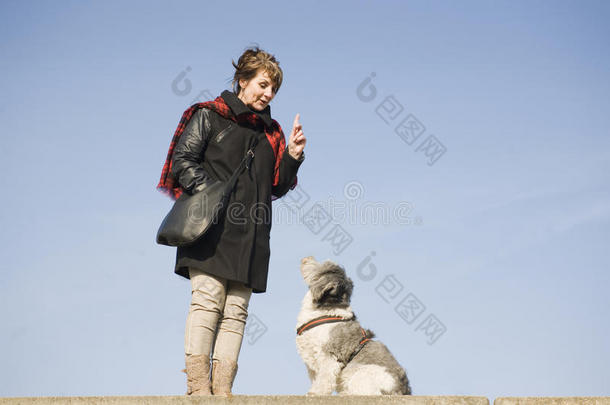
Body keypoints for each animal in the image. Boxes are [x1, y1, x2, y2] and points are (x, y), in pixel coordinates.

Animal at [294, 256, 410, 394]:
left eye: (321, 266)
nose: (307, 258)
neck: (325, 311)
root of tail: (402, 391)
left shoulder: (330, 357)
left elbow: (324, 381)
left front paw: (315, 393)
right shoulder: (312, 363)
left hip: (362, 374)